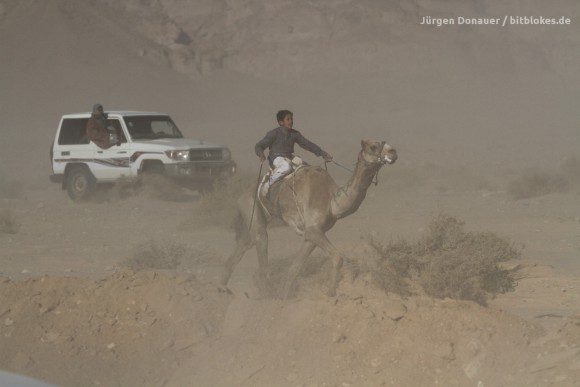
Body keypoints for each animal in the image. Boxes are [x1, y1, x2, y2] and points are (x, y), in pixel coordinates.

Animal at [220, 141, 396, 298]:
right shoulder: (313, 230)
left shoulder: (312, 233)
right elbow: (337, 257)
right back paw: (263, 295)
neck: (331, 201)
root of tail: (241, 195)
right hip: (251, 206)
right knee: (261, 243)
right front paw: (330, 293)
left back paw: (223, 288)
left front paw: (284, 296)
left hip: (253, 219)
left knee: (244, 244)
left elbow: (295, 266)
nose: (393, 151)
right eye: (373, 146)